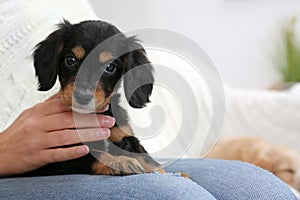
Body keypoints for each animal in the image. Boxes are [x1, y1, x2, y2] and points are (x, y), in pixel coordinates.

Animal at [25, 19, 165, 177]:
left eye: (110, 67)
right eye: (70, 60)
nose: (82, 97)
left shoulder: (123, 136)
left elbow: (147, 158)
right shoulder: (63, 153)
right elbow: (93, 155)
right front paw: (120, 161)